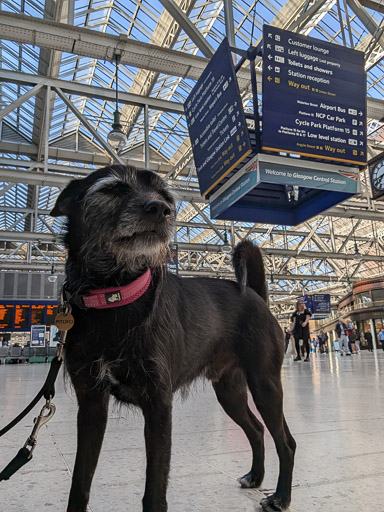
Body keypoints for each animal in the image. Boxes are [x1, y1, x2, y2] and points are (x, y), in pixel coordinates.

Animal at [51, 165, 296, 512]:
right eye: (112, 189)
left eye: (166, 196)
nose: (160, 209)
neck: (115, 295)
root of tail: (256, 296)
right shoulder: (91, 405)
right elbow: (80, 481)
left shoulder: (158, 405)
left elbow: (155, 487)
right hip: (230, 392)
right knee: (257, 429)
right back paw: (255, 477)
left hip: (265, 385)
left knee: (285, 441)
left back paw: (281, 497)